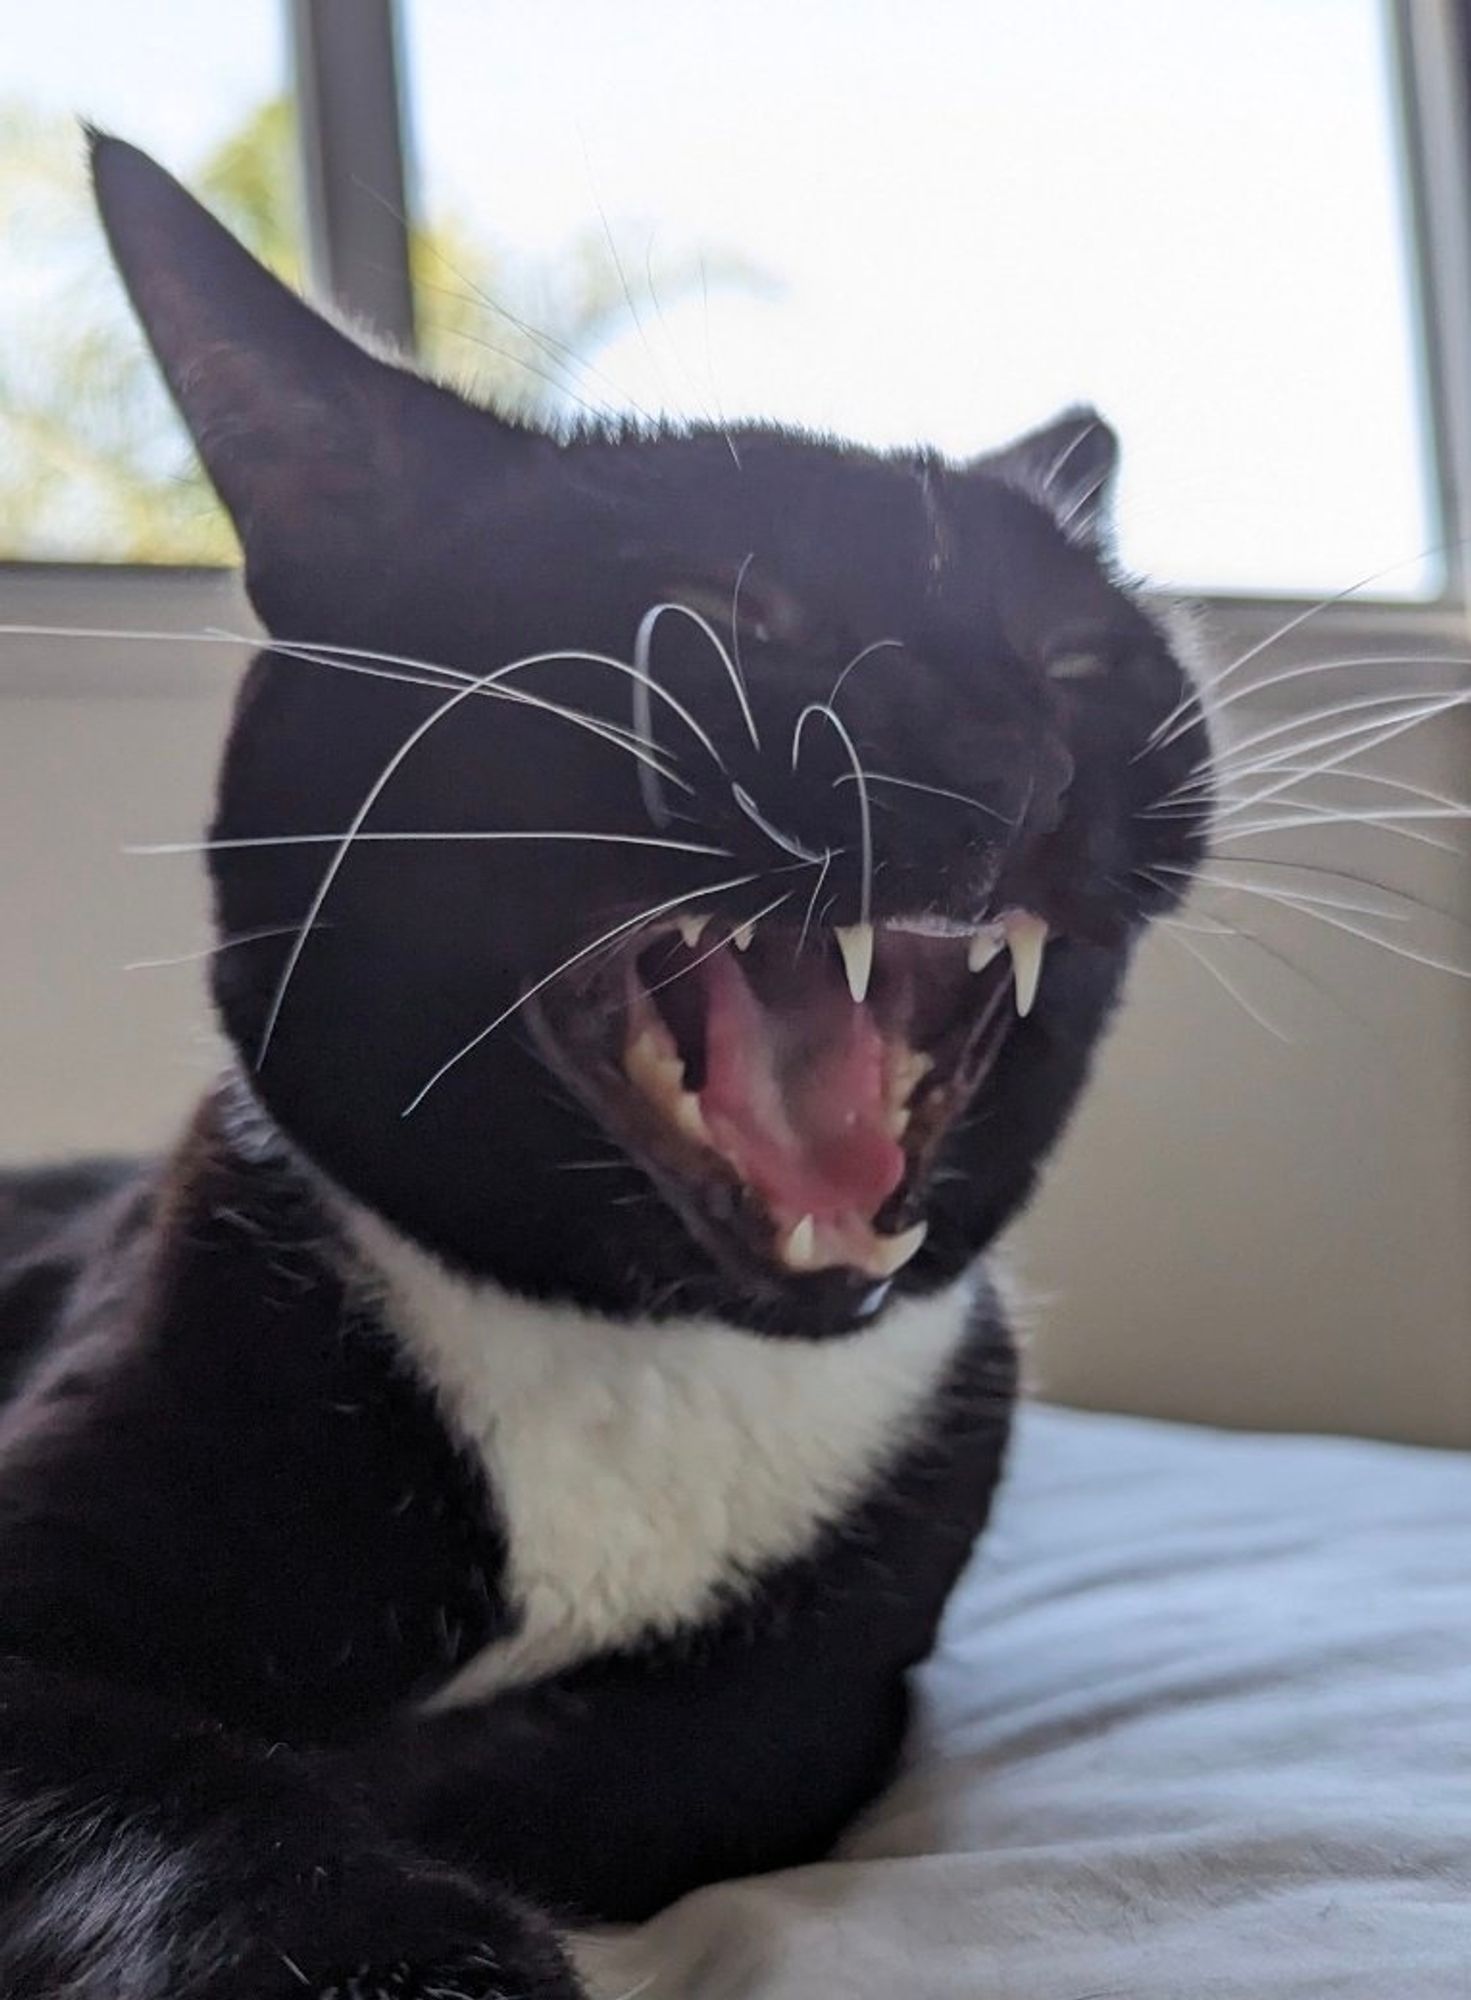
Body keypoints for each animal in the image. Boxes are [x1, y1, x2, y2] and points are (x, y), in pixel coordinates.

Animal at [0, 133, 1215, 1992]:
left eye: (1079, 662)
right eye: (729, 612)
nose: (1015, 752)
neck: (647, 1363)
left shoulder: (845, 1670)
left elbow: (689, 1757)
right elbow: (172, 1783)